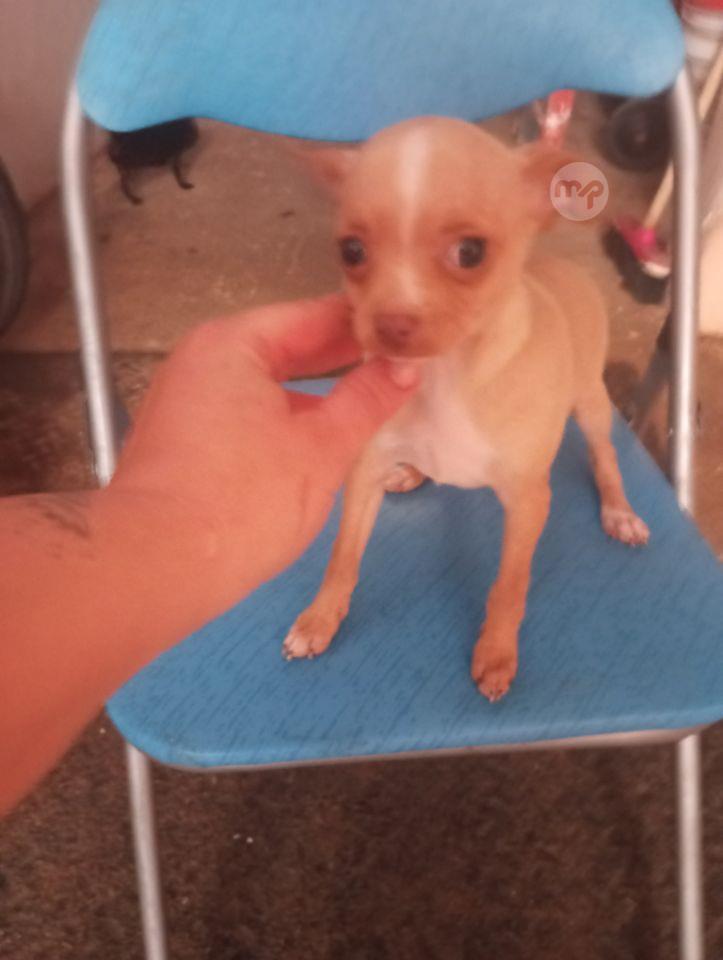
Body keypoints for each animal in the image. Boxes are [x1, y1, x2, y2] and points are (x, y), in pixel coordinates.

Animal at [282, 117, 649, 701]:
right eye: (352, 251)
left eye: (471, 253)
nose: (390, 325)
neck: (445, 376)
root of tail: (561, 265)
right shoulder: (364, 471)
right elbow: (342, 556)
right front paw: (320, 619)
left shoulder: (528, 503)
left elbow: (509, 586)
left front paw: (496, 653)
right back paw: (411, 473)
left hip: (592, 404)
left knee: (605, 456)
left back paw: (619, 511)